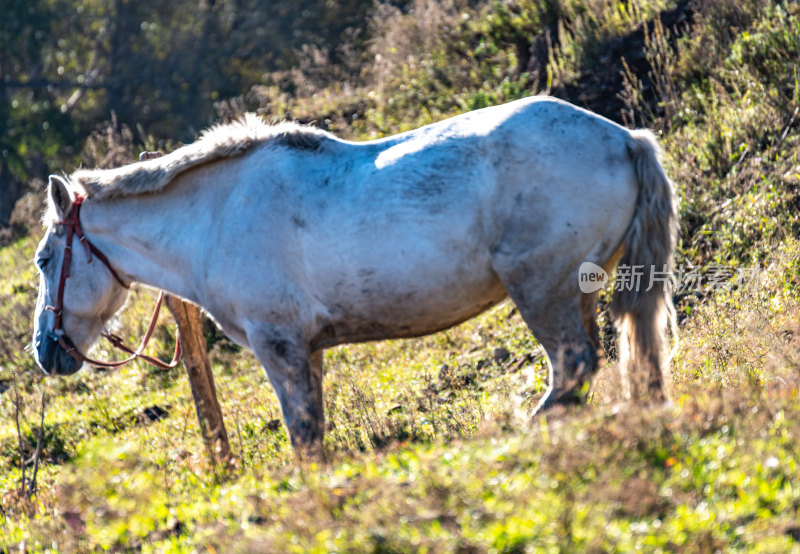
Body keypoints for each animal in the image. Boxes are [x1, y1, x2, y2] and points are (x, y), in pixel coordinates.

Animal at [34, 96, 680, 452]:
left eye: (44, 260)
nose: (45, 350)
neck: (218, 215)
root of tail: (623, 138)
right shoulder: (307, 351)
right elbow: (314, 433)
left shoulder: (279, 347)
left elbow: (304, 441)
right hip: (580, 294)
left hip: (542, 291)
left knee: (573, 368)